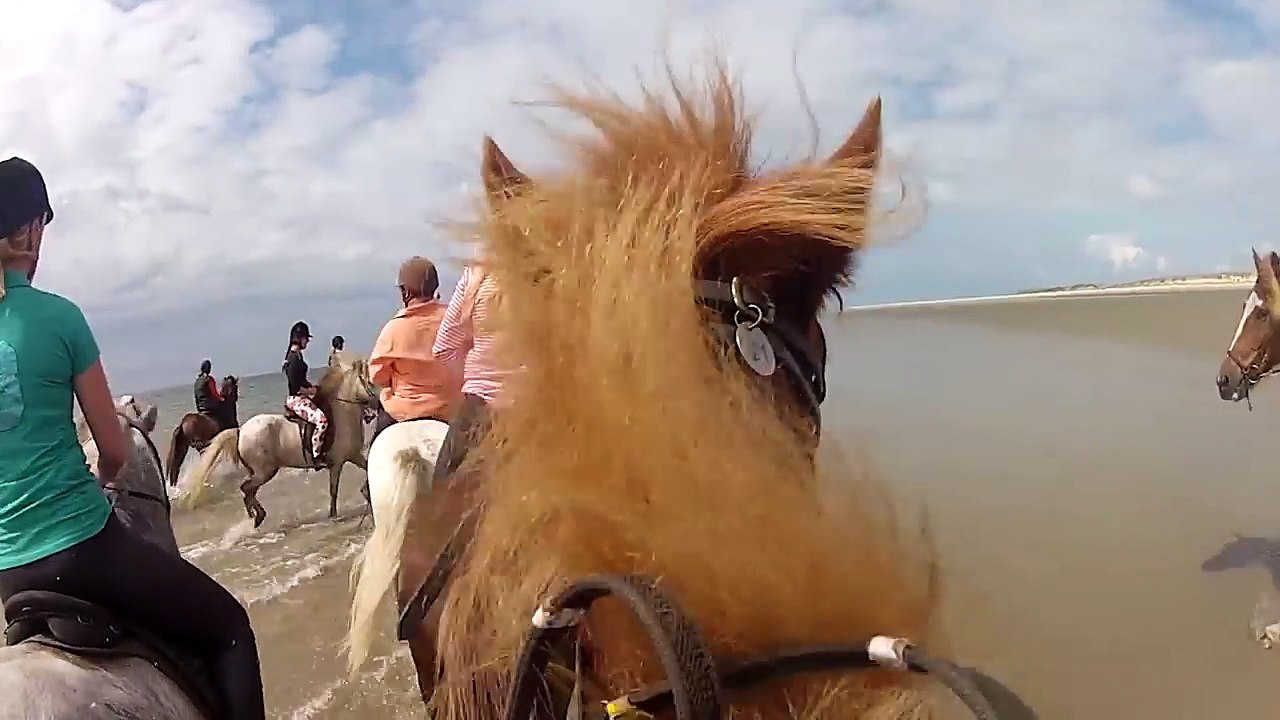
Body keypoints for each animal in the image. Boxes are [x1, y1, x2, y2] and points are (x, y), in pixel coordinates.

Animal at [177, 355, 378, 527]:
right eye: (370, 382)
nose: (379, 404)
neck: (342, 413)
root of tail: (241, 431)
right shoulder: (337, 463)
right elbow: (333, 491)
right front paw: (334, 515)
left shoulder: (354, 455)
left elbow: (368, 467)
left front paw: (367, 493)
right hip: (264, 471)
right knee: (246, 489)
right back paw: (256, 516)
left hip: (260, 472)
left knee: (248, 491)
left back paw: (257, 516)